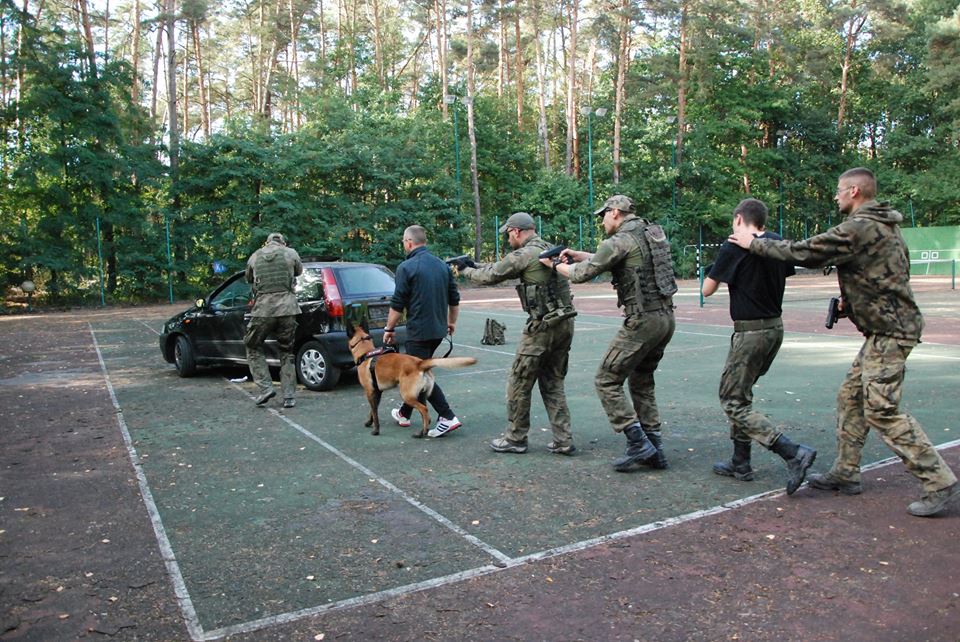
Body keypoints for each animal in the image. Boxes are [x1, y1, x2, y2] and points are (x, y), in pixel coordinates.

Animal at [346, 324, 478, 436]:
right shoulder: (377, 392)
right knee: (426, 414)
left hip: (407, 396)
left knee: (424, 410)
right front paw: (369, 422)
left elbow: (375, 412)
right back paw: (424, 430)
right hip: (421, 395)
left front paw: (376, 430)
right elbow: (373, 411)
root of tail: (419, 363)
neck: (366, 353)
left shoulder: (370, 392)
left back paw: (422, 433)